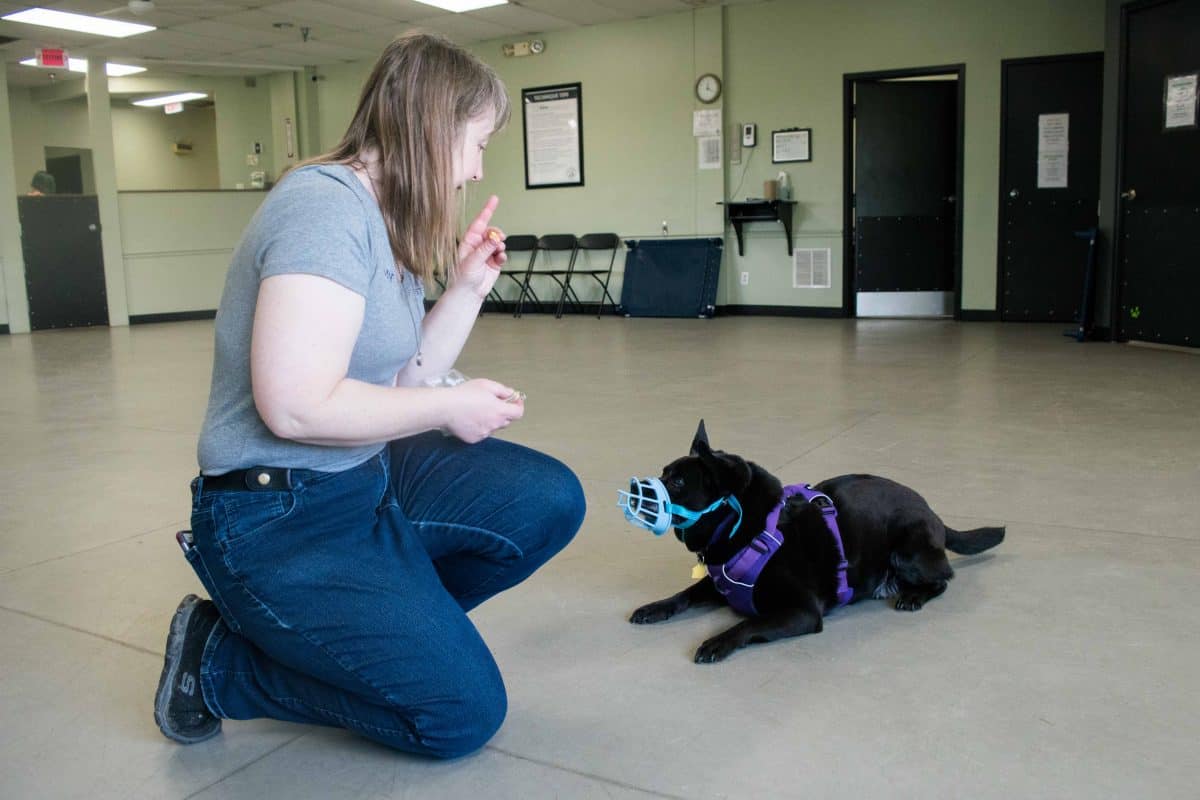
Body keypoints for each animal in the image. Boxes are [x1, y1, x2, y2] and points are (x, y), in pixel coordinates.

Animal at [628, 424, 1003, 662]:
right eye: (663, 473)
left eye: (677, 482)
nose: (633, 487)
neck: (746, 527)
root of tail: (933, 512)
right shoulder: (719, 584)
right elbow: (685, 594)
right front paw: (655, 607)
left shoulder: (802, 613)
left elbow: (748, 623)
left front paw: (717, 642)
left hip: (908, 551)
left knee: (944, 578)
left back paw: (912, 595)